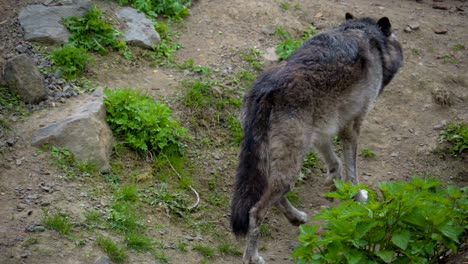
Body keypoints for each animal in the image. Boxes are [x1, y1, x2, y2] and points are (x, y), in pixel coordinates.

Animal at [230, 13, 402, 262]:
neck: (365, 34)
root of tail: (266, 90)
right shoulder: (351, 128)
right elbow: (353, 172)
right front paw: (359, 198)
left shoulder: (322, 133)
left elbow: (335, 162)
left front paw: (334, 183)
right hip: (292, 164)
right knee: (256, 210)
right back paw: (253, 256)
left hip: (279, 159)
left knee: (273, 196)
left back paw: (296, 217)